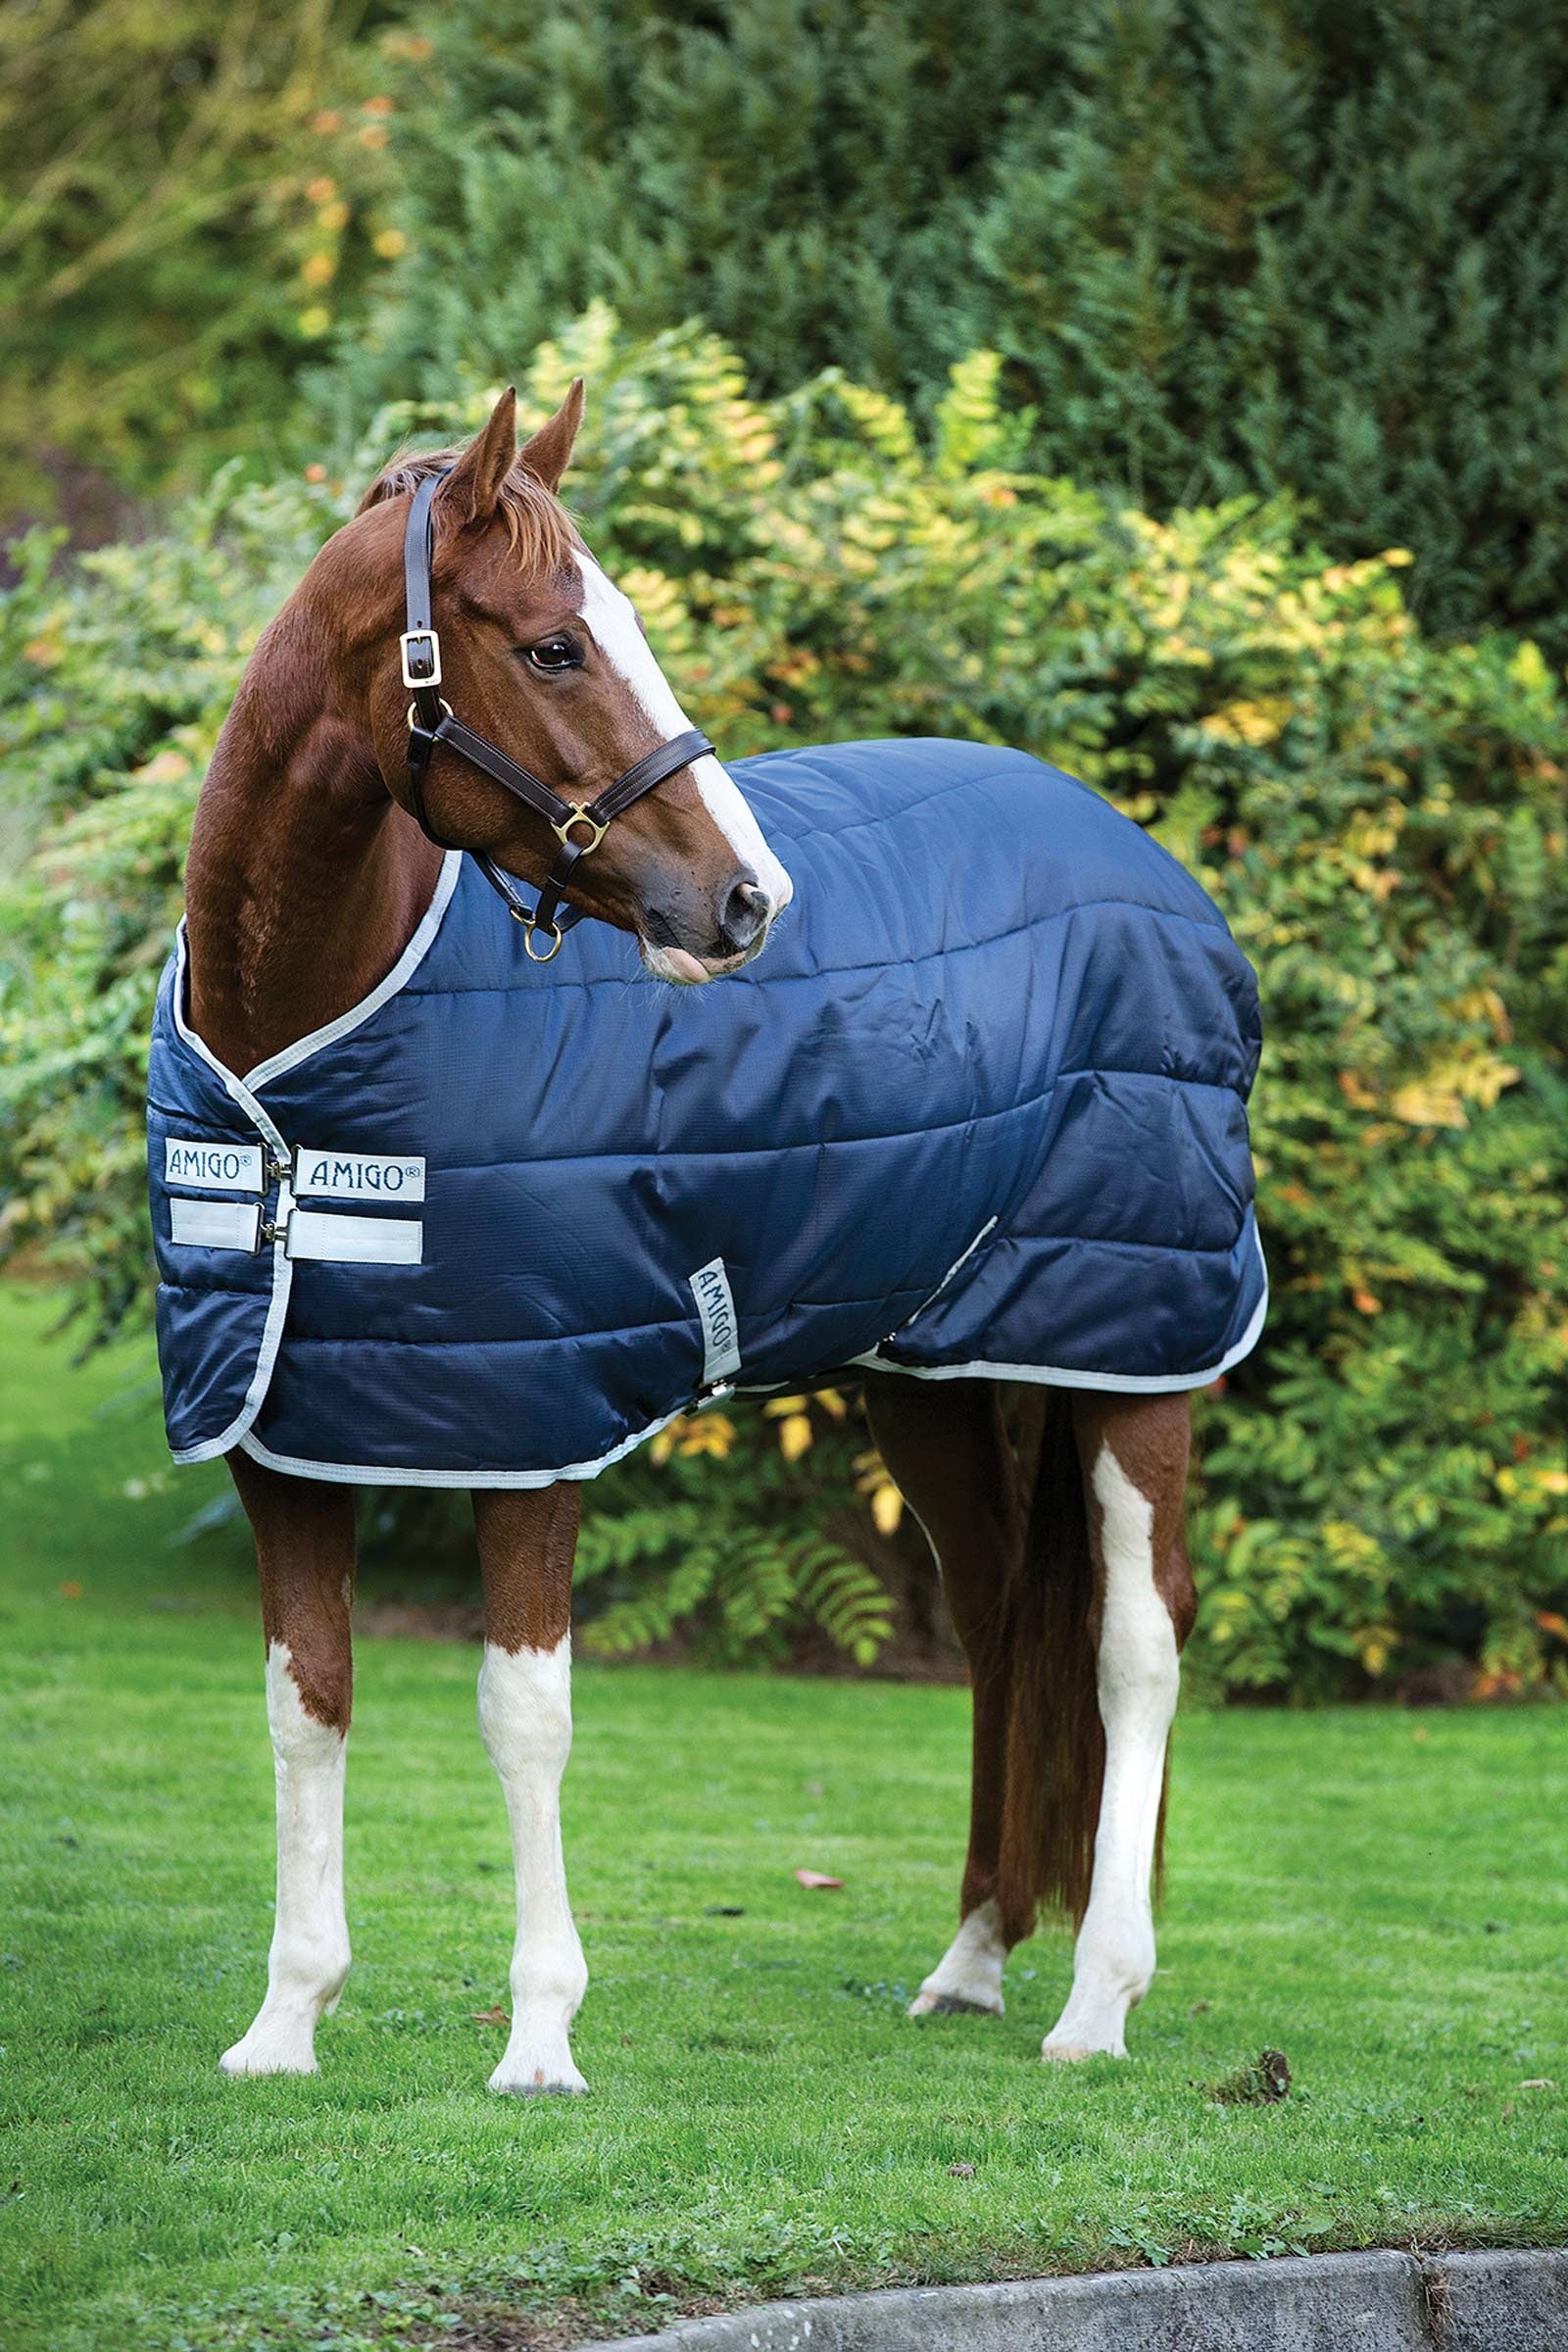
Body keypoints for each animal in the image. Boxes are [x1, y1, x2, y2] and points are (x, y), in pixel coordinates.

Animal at [158, 383, 1261, 2094]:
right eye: (555, 646)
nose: (747, 901)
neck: (295, 1080)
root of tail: (1148, 867)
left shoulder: (532, 1431)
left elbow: (523, 1717)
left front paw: (540, 2041)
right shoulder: (285, 1430)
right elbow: (306, 1706)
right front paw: (284, 2025)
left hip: (1141, 1351)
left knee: (1137, 1643)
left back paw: (1097, 2001)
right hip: (933, 1374)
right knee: (1008, 1617)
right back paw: (973, 1959)